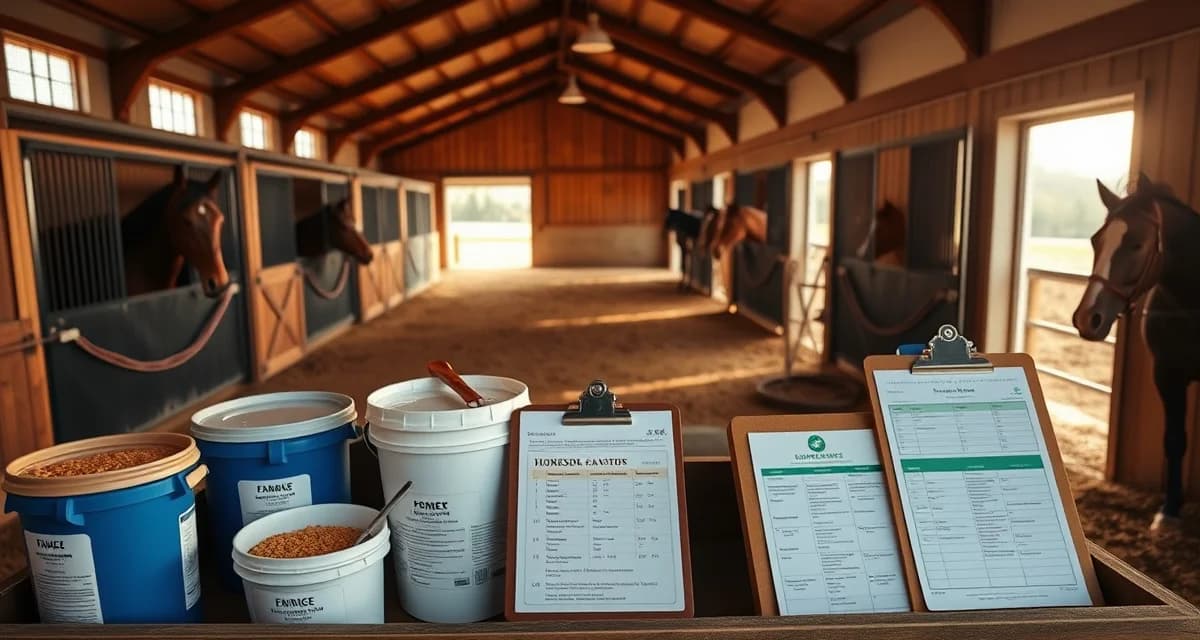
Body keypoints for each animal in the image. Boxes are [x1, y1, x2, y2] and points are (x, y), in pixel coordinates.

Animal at [1072, 171, 1200, 532]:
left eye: (1138, 244)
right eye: (1096, 241)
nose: (1087, 318)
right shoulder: (1167, 374)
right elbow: (1175, 440)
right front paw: (1168, 512)